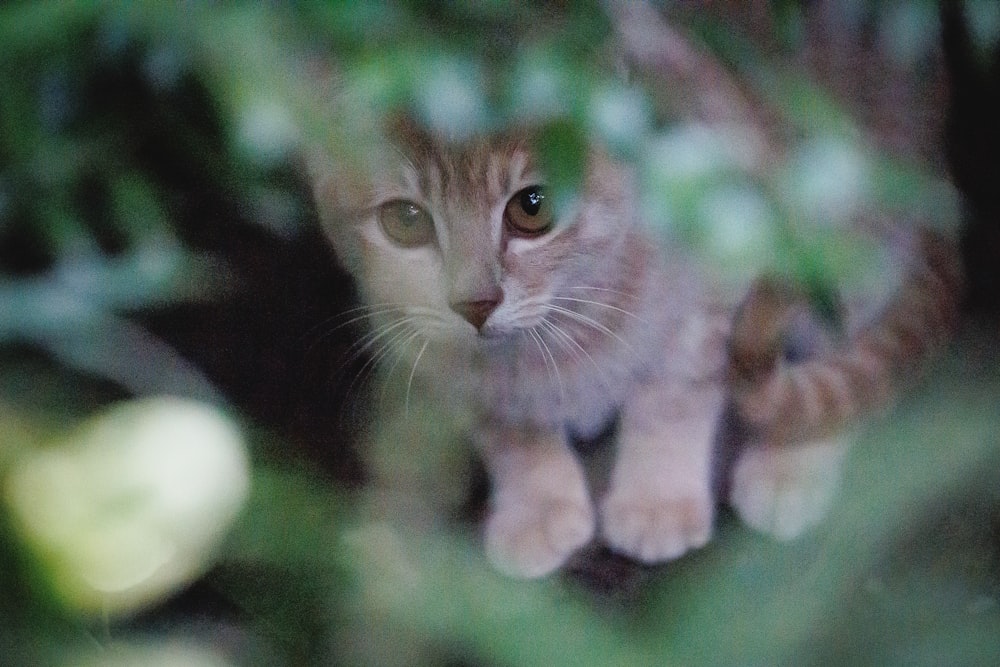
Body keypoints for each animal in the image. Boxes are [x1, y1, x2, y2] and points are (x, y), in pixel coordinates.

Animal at [310, 115, 960, 580]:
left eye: (532, 207)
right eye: (405, 220)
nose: (474, 304)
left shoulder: (716, 266)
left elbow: (674, 394)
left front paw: (657, 499)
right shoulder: (433, 349)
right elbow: (509, 427)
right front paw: (537, 506)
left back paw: (789, 466)